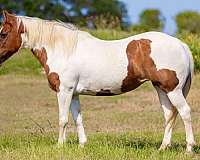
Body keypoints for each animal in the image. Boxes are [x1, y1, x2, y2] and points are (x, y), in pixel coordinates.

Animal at [0, 10, 195, 151]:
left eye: (3, 33)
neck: (64, 49)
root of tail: (181, 45)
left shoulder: (64, 91)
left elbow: (63, 119)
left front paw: (60, 146)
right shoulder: (74, 93)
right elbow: (77, 118)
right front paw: (82, 145)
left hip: (173, 90)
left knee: (185, 112)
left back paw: (189, 148)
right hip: (161, 88)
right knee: (169, 114)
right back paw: (163, 147)